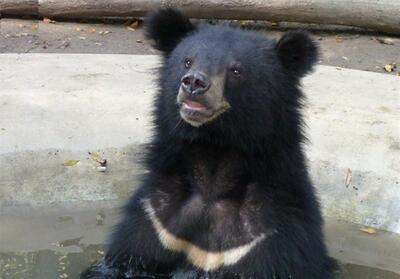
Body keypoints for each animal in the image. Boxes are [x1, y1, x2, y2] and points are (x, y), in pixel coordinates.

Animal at [83, 8, 338, 279]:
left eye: (236, 70)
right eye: (187, 61)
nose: (194, 82)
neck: (213, 152)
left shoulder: (268, 240)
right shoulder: (155, 221)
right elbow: (124, 262)